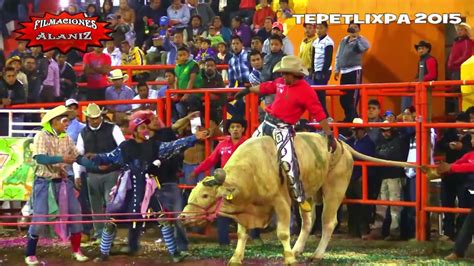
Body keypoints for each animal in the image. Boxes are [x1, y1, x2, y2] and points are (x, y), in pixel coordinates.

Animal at [180, 132, 412, 264]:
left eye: (205, 195)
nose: (182, 217)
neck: (252, 170)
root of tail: (342, 145)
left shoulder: (280, 202)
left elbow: (282, 233)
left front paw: (289, 258)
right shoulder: (247, 209)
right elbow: (242, 233)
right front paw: (236, 258)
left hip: (334, 190)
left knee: (328, 222)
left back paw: (315, 255)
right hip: (306, 194)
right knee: (309, 221)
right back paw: (298, 249)